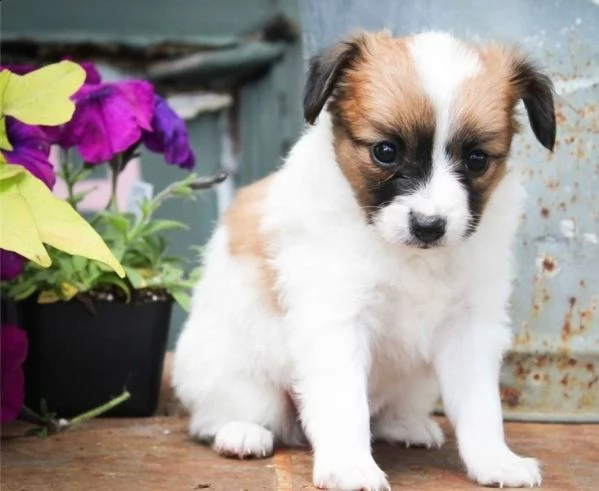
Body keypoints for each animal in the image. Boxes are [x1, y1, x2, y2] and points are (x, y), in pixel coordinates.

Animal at [171, 31, 556, 491]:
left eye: (477, 159)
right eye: (385, 152)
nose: (429, 226)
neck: (404, 253)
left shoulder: (471, 327)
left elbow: (482, 406)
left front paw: (495, 460)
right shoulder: (336, 320)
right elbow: (344, 402)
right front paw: (350, 466)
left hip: (417, 382)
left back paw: (405, 424)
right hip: (238, 377)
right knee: (220, 416)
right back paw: (241, 432)